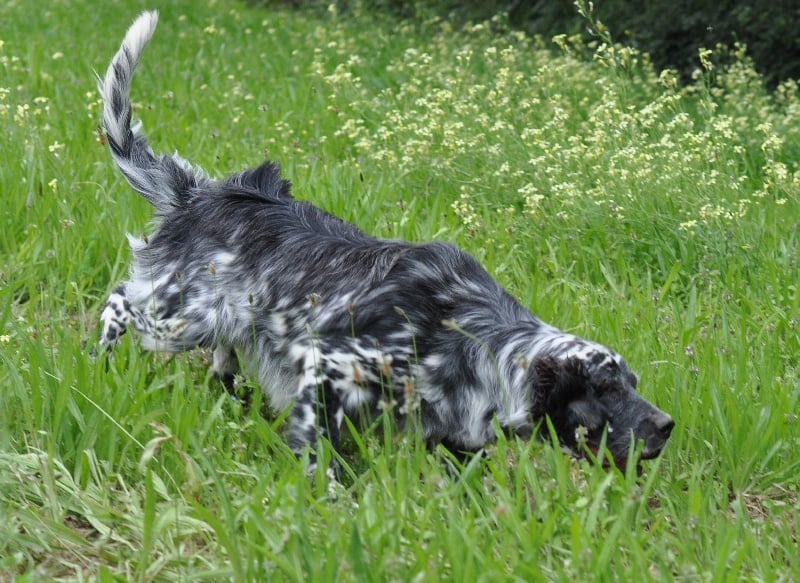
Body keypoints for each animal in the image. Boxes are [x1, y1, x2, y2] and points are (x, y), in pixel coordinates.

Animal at [98, 11, 676, 476]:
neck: (469, 333)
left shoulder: (454, 433)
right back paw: (97, 360)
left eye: (632, 382)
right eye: (605, 389)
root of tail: (197, 195)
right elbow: (318, 453)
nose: (667, 426)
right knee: (120, 301)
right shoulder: (328, 366)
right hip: (181, 318)